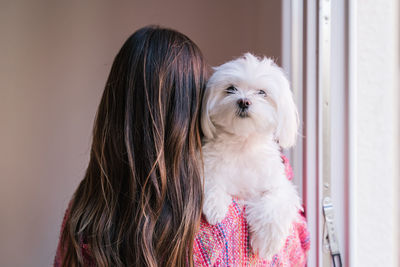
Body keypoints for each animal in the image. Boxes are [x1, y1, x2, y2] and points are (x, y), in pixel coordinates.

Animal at [202, 53, 302, 260]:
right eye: (231, 89)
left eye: (262, 92)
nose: (243, 101)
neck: (243, 144)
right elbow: (209, 179)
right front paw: (215, 207)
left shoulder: (280, 185)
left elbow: (275, 204)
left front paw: (266, 244)